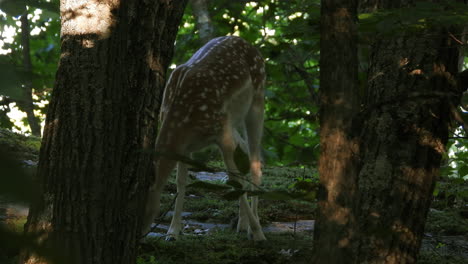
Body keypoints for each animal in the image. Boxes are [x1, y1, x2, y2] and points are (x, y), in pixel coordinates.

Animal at [142, 36, 266, 240]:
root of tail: (248, 43)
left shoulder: (222, 133)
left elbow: (235, 180)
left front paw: (258, 233)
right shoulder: (185, 148)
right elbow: (181, 182)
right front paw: (173, 232)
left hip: (257, 100)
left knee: (256, 161)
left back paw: (253, 228)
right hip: (232, 121)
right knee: (245, 151)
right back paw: (242, 224)